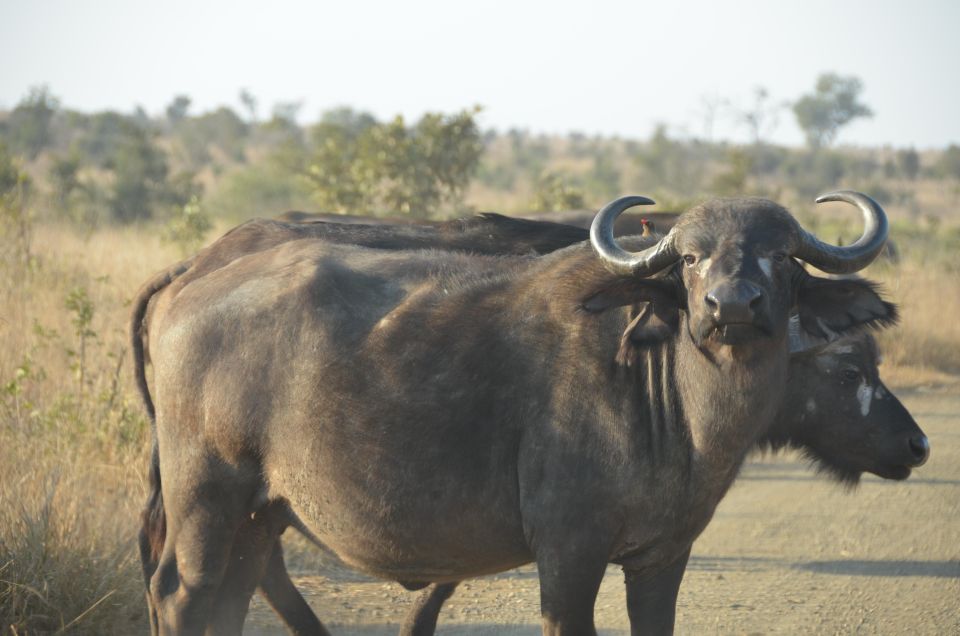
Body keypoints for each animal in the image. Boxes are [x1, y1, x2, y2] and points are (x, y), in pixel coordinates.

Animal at [131, 191, 896, 632]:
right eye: (690, 259)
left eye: (778, 256)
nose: (731, 305)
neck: (674, 403)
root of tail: (193, 278)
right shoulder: (569, 556)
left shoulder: (662, 559)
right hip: (208, 492)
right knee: (182, 593)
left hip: (261, 511)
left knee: (233, 596)